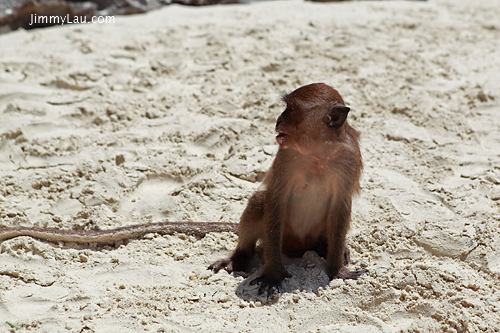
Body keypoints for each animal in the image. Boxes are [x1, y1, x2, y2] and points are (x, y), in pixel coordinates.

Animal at [209, 81, 366, 294]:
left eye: (291, 109)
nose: (278, 120)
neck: (318, 152)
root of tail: (298, 248)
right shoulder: (287, 156)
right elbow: (276, 199)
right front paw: (273, 274)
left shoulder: (348, 158)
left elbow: (340, 206)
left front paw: (337, 270)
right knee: (259, 202)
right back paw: (239, 258)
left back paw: (327, 248)